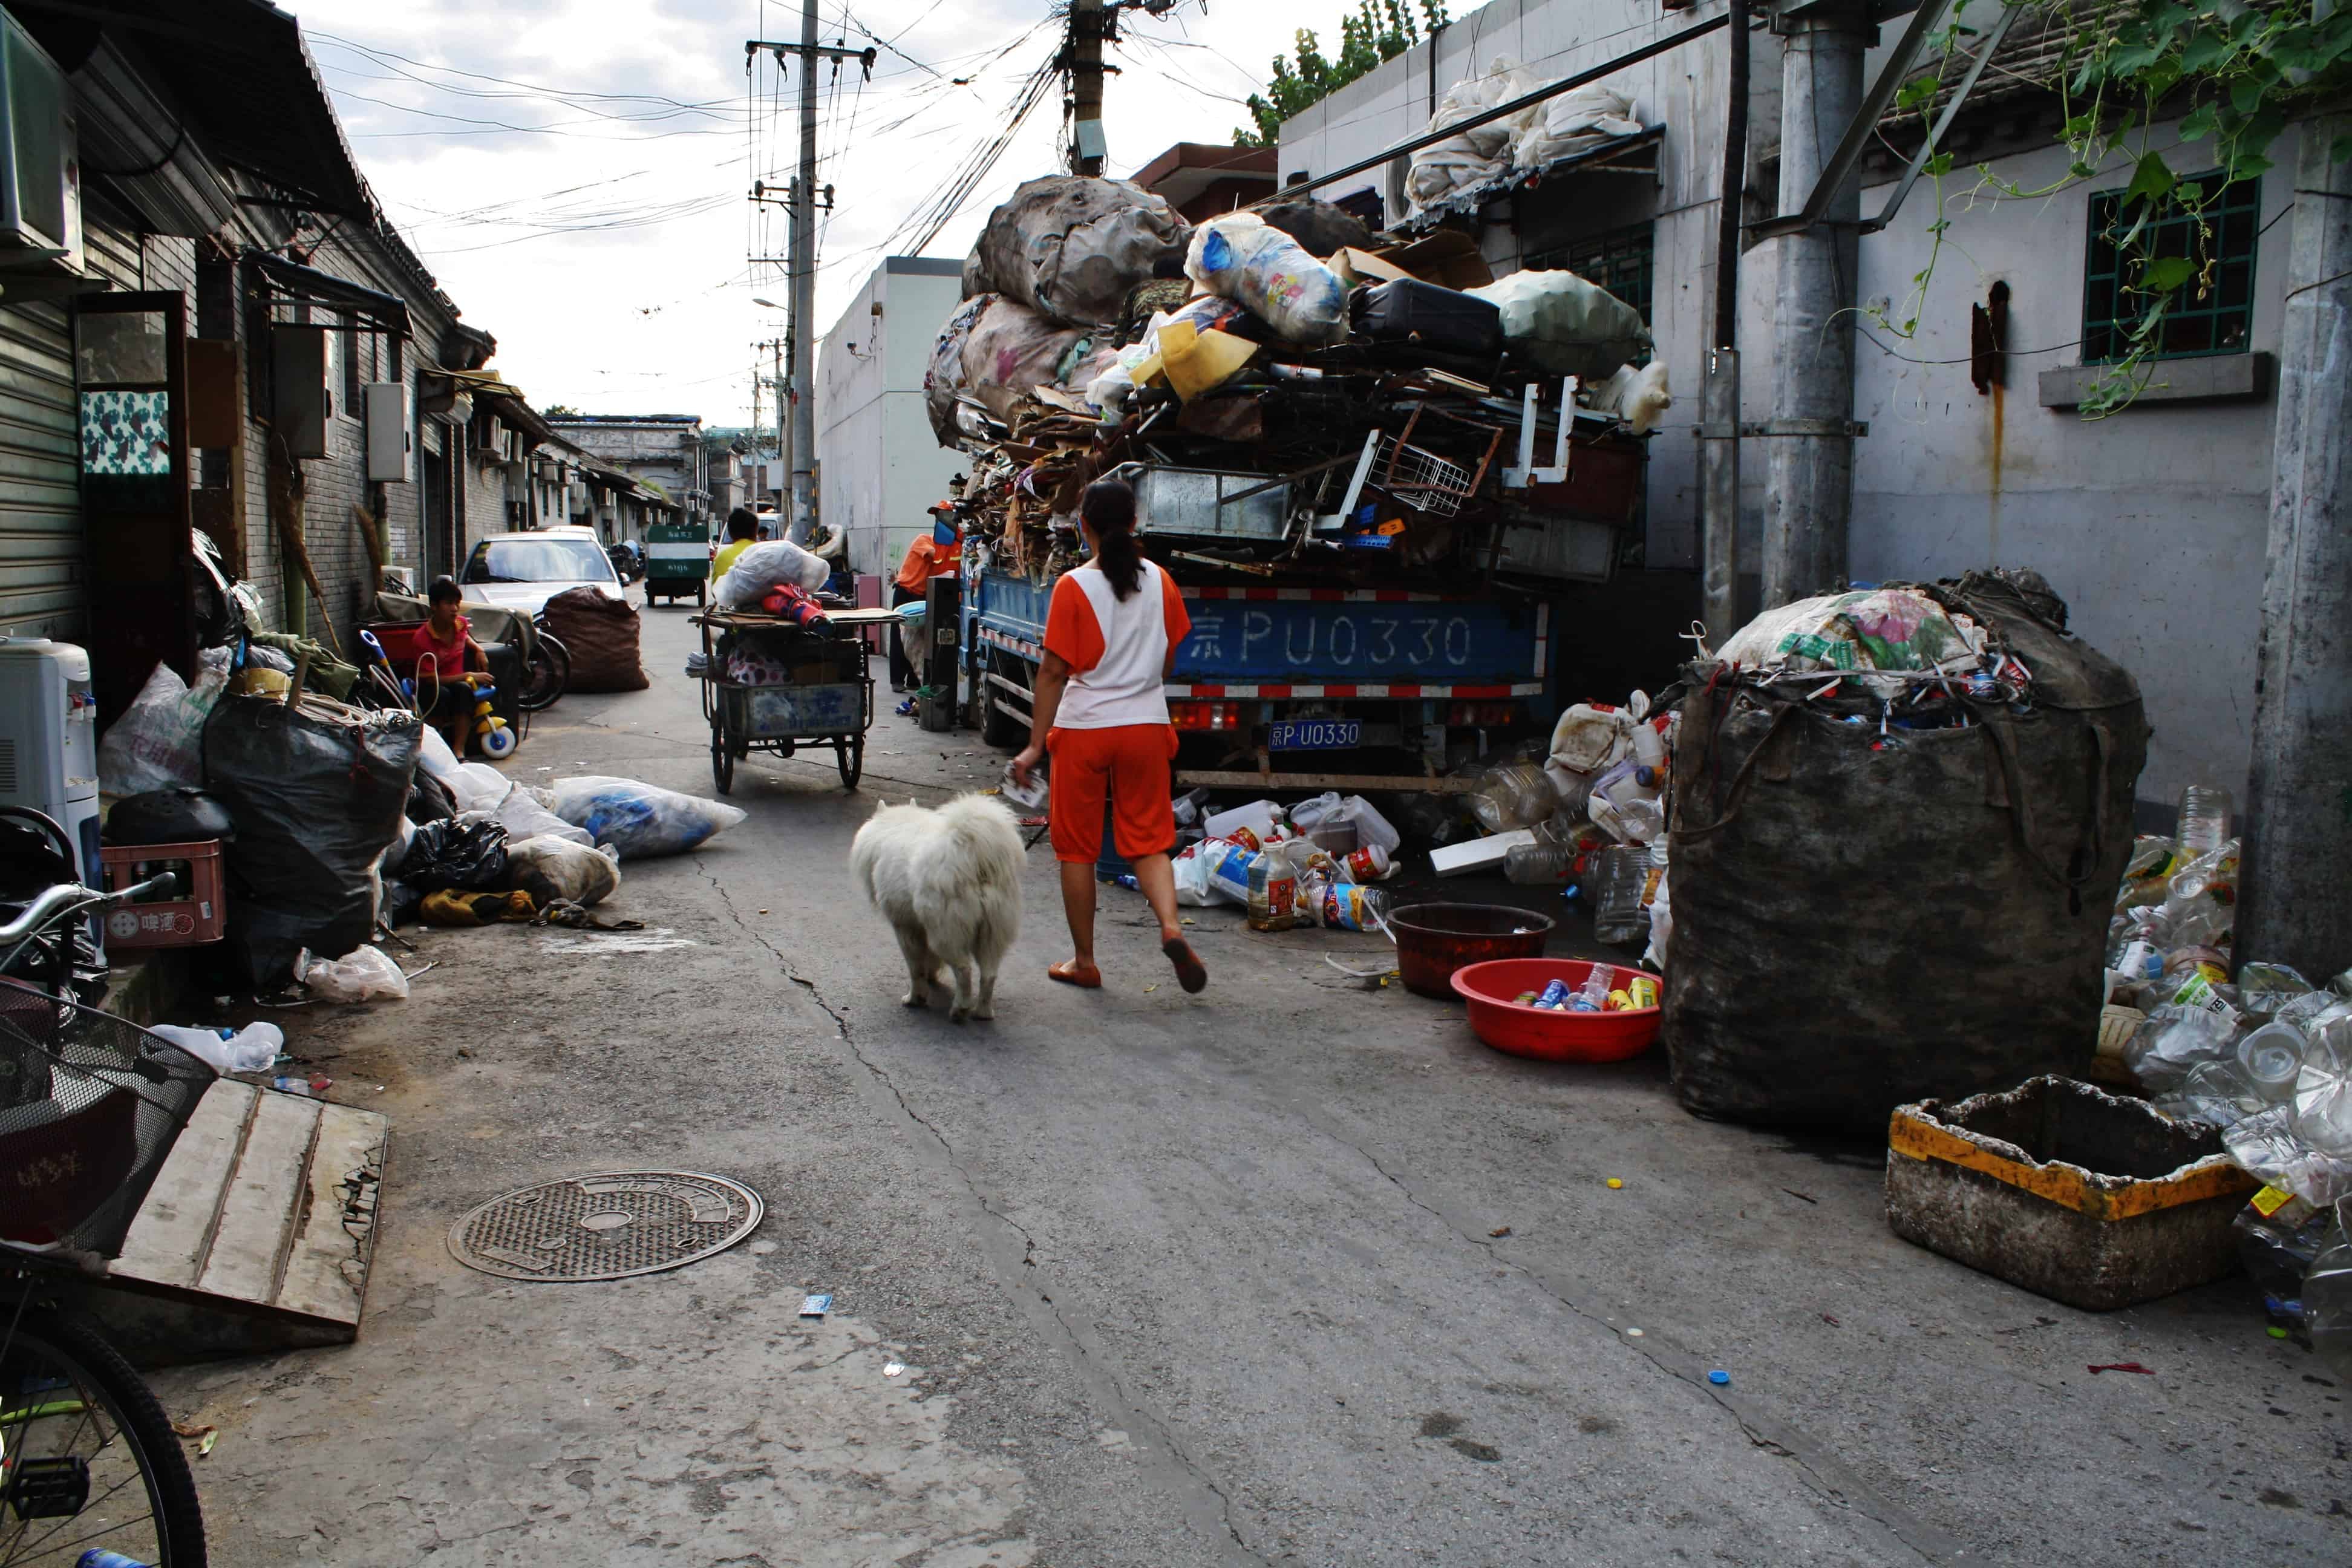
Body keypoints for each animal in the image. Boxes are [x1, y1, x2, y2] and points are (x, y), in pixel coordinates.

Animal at [851, 799, 1025, 1020]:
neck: (895, 826)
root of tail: (975, 859)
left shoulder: (906, 927)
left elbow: (916, 968)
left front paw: (915, 998)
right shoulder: (922, 927)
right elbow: (929, 960)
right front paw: (932, 977)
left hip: (946, 933)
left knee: (964, 970)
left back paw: (960, 1009)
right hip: (991, 935)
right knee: (989, 975)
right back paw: (983, 1012)